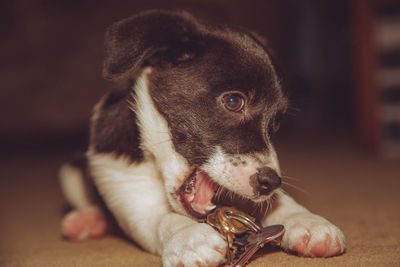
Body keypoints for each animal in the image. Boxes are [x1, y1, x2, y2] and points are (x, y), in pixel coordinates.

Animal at [58, 9, 344, 266]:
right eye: (233, 101)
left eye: (276, 122)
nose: (270, 182)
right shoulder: (128, 193)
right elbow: (162, 219)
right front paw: (189, 237)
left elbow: (278, 202)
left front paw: (306, 220)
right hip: (70, 171)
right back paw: (86, 220)